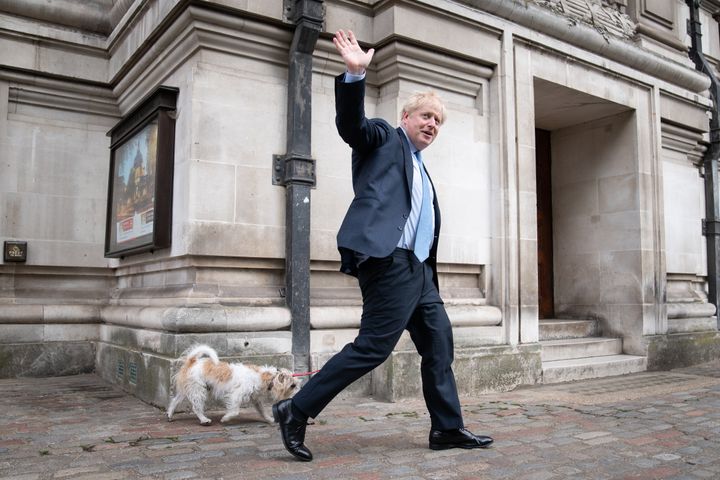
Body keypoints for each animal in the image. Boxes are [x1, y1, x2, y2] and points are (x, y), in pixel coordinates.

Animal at [167, 344, 298, 426]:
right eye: (293, 386)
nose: (297, 396)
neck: (264, 377)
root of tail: (192, 361)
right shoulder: (236, 395)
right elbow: (235, 411)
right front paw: (225, 418)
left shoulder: (255, 399)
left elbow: (263, 411)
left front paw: (270, 419)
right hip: (198, 390)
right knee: (196, 407)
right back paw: (204, 420)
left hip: (188, 389)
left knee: (174, 401)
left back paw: (169, 415)